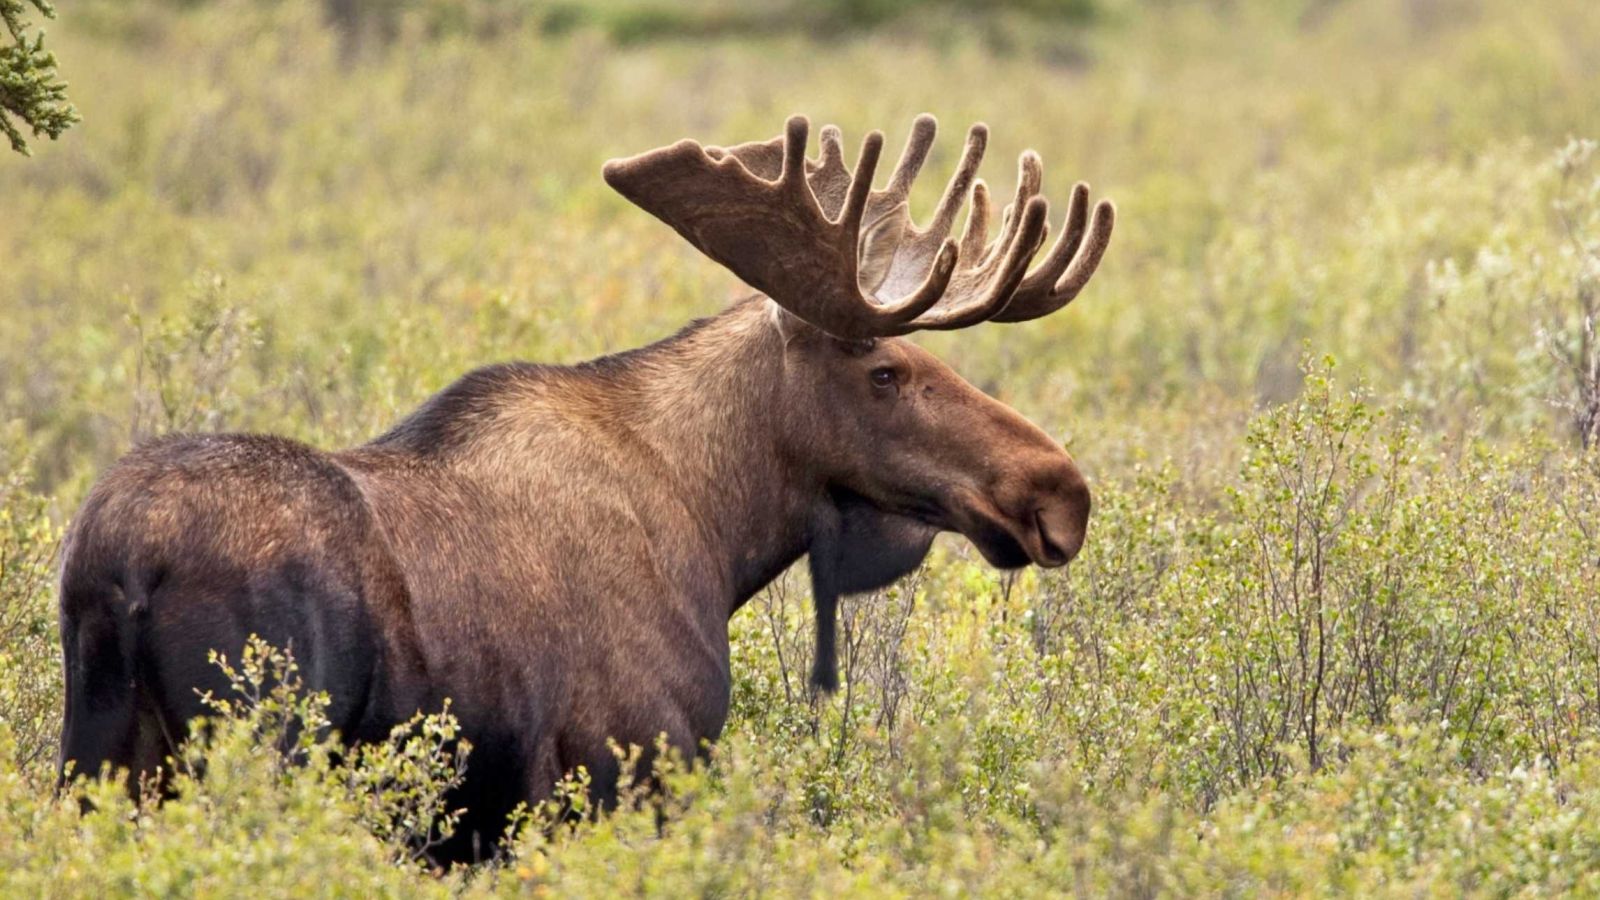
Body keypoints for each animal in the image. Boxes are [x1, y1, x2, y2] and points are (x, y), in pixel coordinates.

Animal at [56, 114, 1114, 861]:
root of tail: (118, 565)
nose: (1059, 491)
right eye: (887, 371)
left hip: (97, 758)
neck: (718, 530)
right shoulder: (625, 770)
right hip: (255, 749)